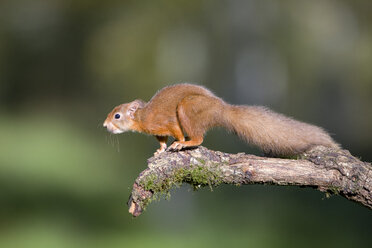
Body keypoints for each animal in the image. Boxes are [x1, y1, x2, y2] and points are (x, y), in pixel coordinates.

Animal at [103, 84, 338, 157]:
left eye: (117, 115)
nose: (105, 125)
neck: (143, 116)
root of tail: (221, 110)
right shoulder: (158, 131)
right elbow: (161, 140)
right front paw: (159, 150)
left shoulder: (167, 122)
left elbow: (175, 133)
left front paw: (177, 144)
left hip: (187, 109)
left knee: (198, 138)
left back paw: (187, 142)